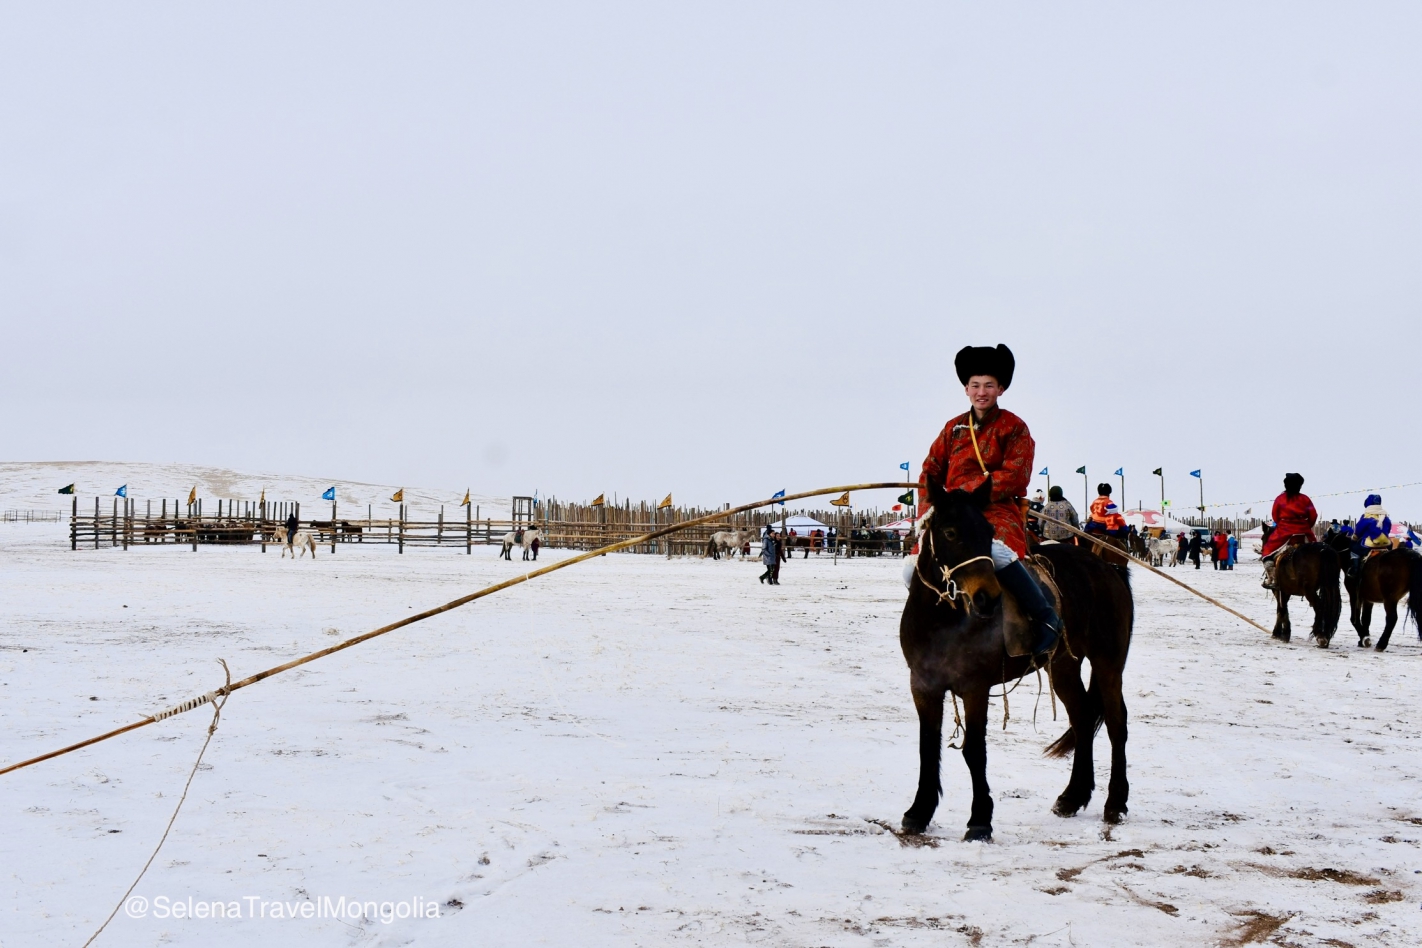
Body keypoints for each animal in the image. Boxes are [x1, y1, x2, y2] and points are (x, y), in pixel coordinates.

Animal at [898, 477, 1131, 841]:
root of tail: (1111, 568)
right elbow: (927, 746)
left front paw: (980, 819)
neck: (942, 621)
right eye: (950, 532)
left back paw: (1115, 802)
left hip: (1108, 662)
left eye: (988, 529)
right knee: (1081, 718)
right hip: (1063, 666)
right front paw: (919, 811)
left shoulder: (974, 687)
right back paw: (1072, 796)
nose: (987, 598)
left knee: (1116, 723)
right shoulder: (923, 685)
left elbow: (974, 750)